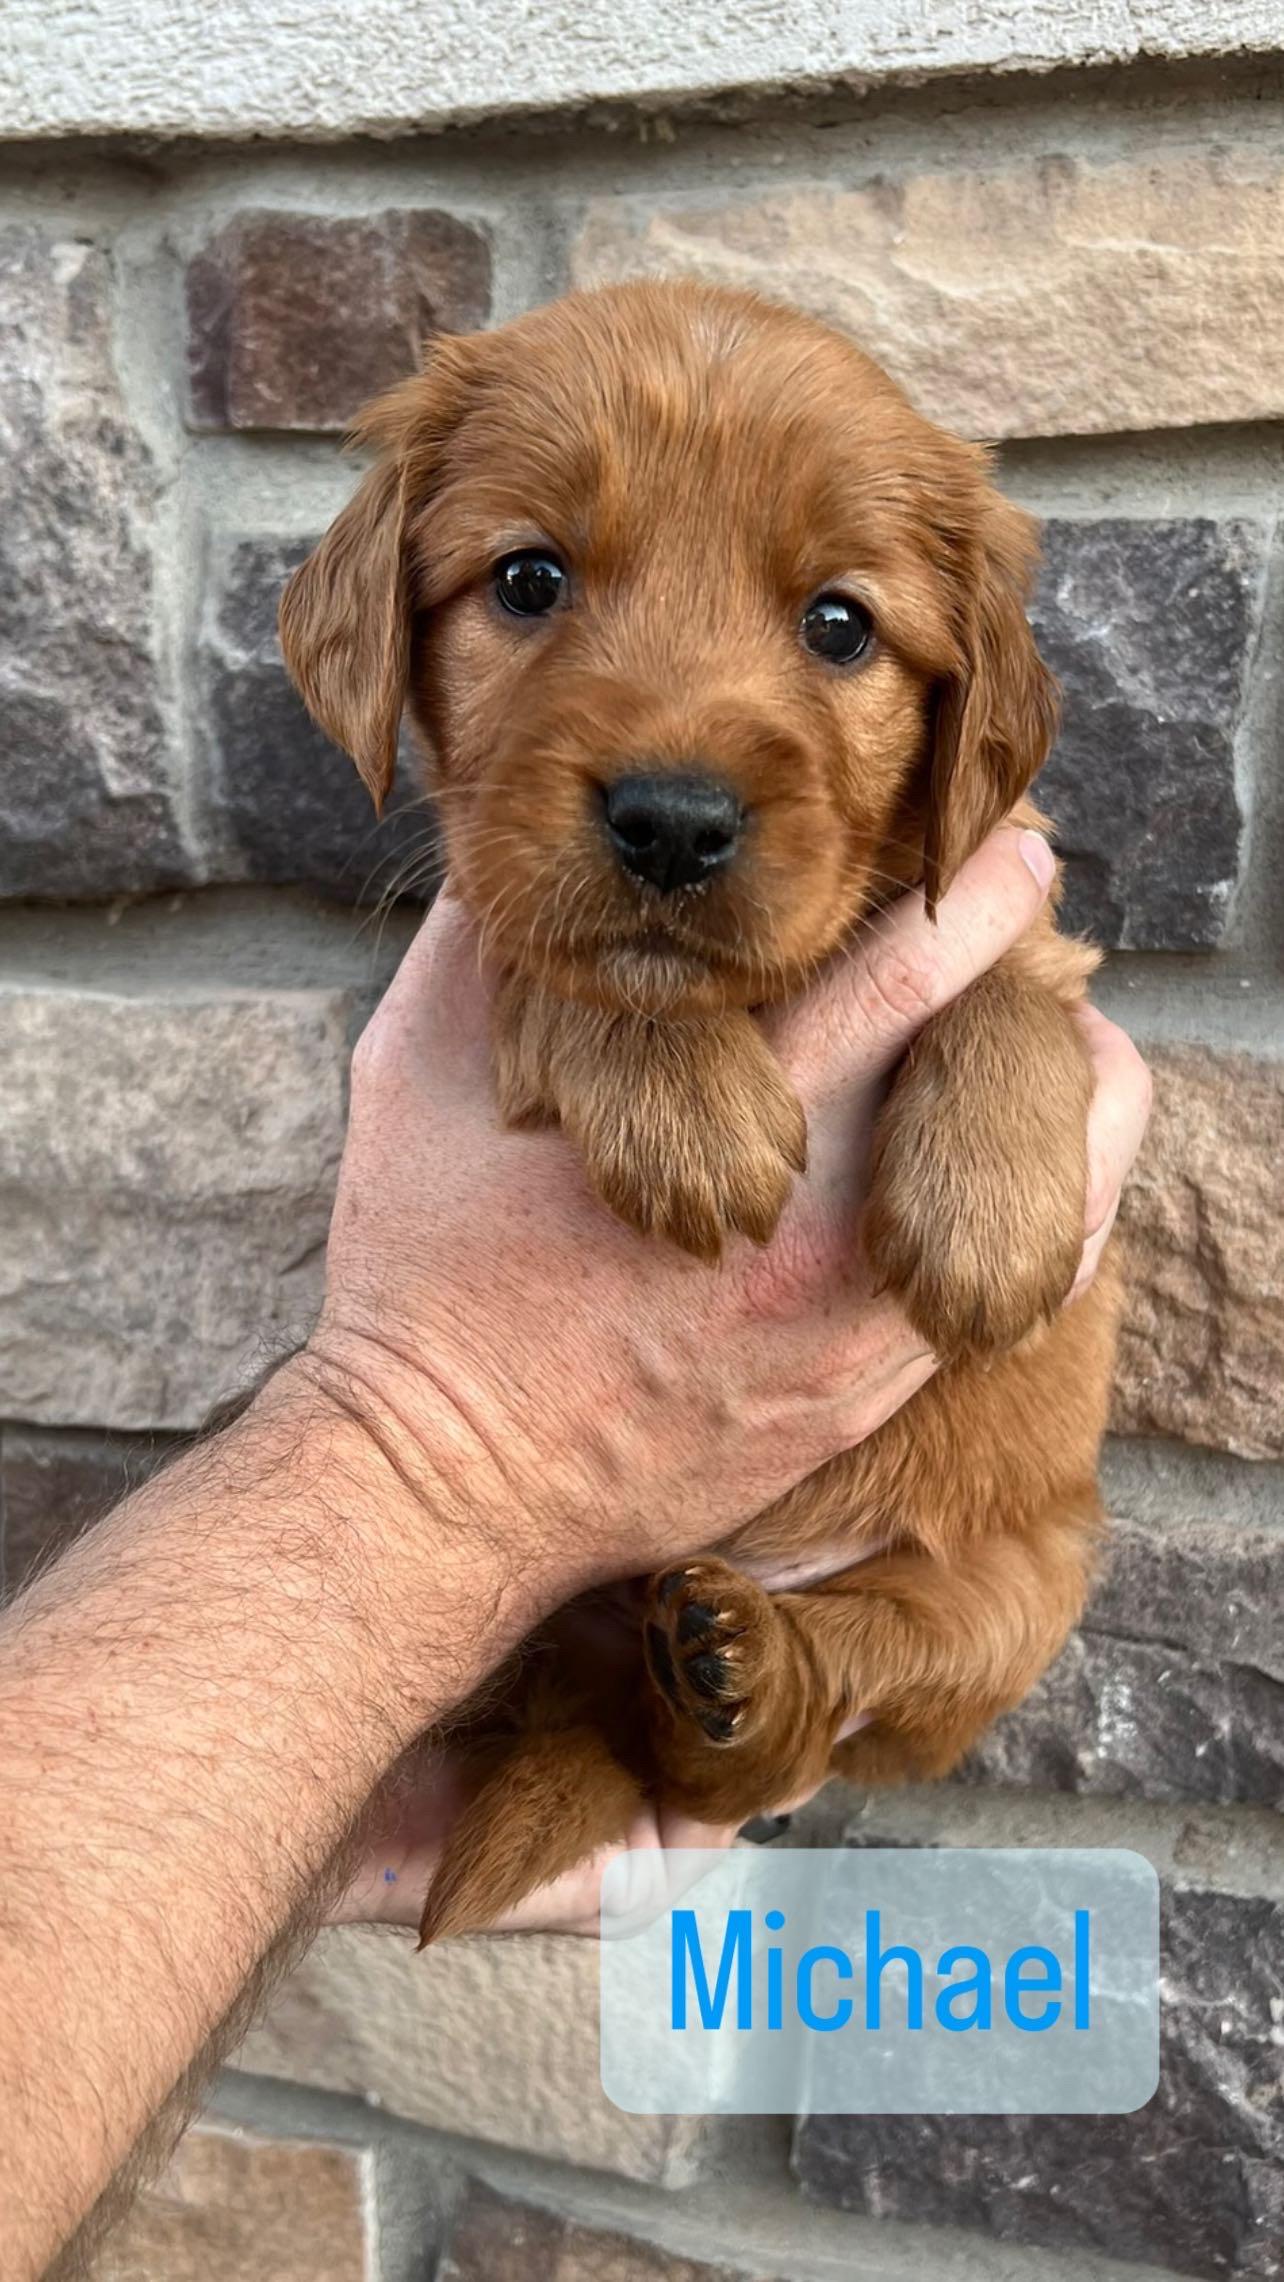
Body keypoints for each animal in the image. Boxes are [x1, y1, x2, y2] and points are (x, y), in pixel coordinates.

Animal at [280, 281, 1119, 1943]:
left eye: (840, 623)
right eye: (528, 578)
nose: (673, 820)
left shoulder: (1011, 901)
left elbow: (1006, 997)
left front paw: (989, 1222)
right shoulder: (486, 931)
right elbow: (569, 967)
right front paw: (686, 1105)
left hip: (1014, 1594)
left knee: (822, 1709)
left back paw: (738, 1670)